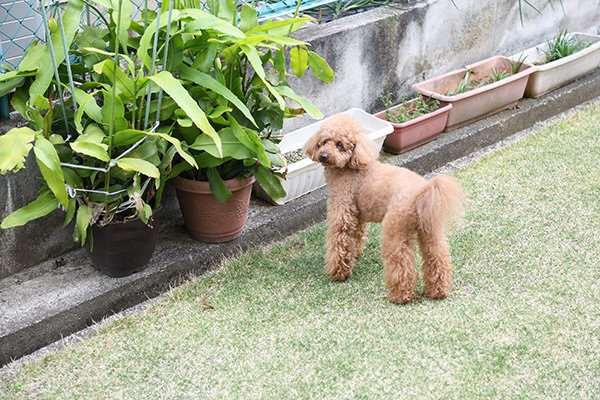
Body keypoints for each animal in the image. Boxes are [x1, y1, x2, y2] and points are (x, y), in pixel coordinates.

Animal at [304, 114, 464, 304]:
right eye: (324, 141)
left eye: (340, 144)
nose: (324, 155)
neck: (350, 167)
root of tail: (422, 191)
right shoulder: (358, 214)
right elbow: (358, 234)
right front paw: (356, 254)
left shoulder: (342, 211)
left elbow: (339, 242)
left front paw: (339, 273)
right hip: (430, 230)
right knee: (437, 257)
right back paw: (438, 291)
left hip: (394, 229)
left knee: (401, 264)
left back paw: (400, 296)